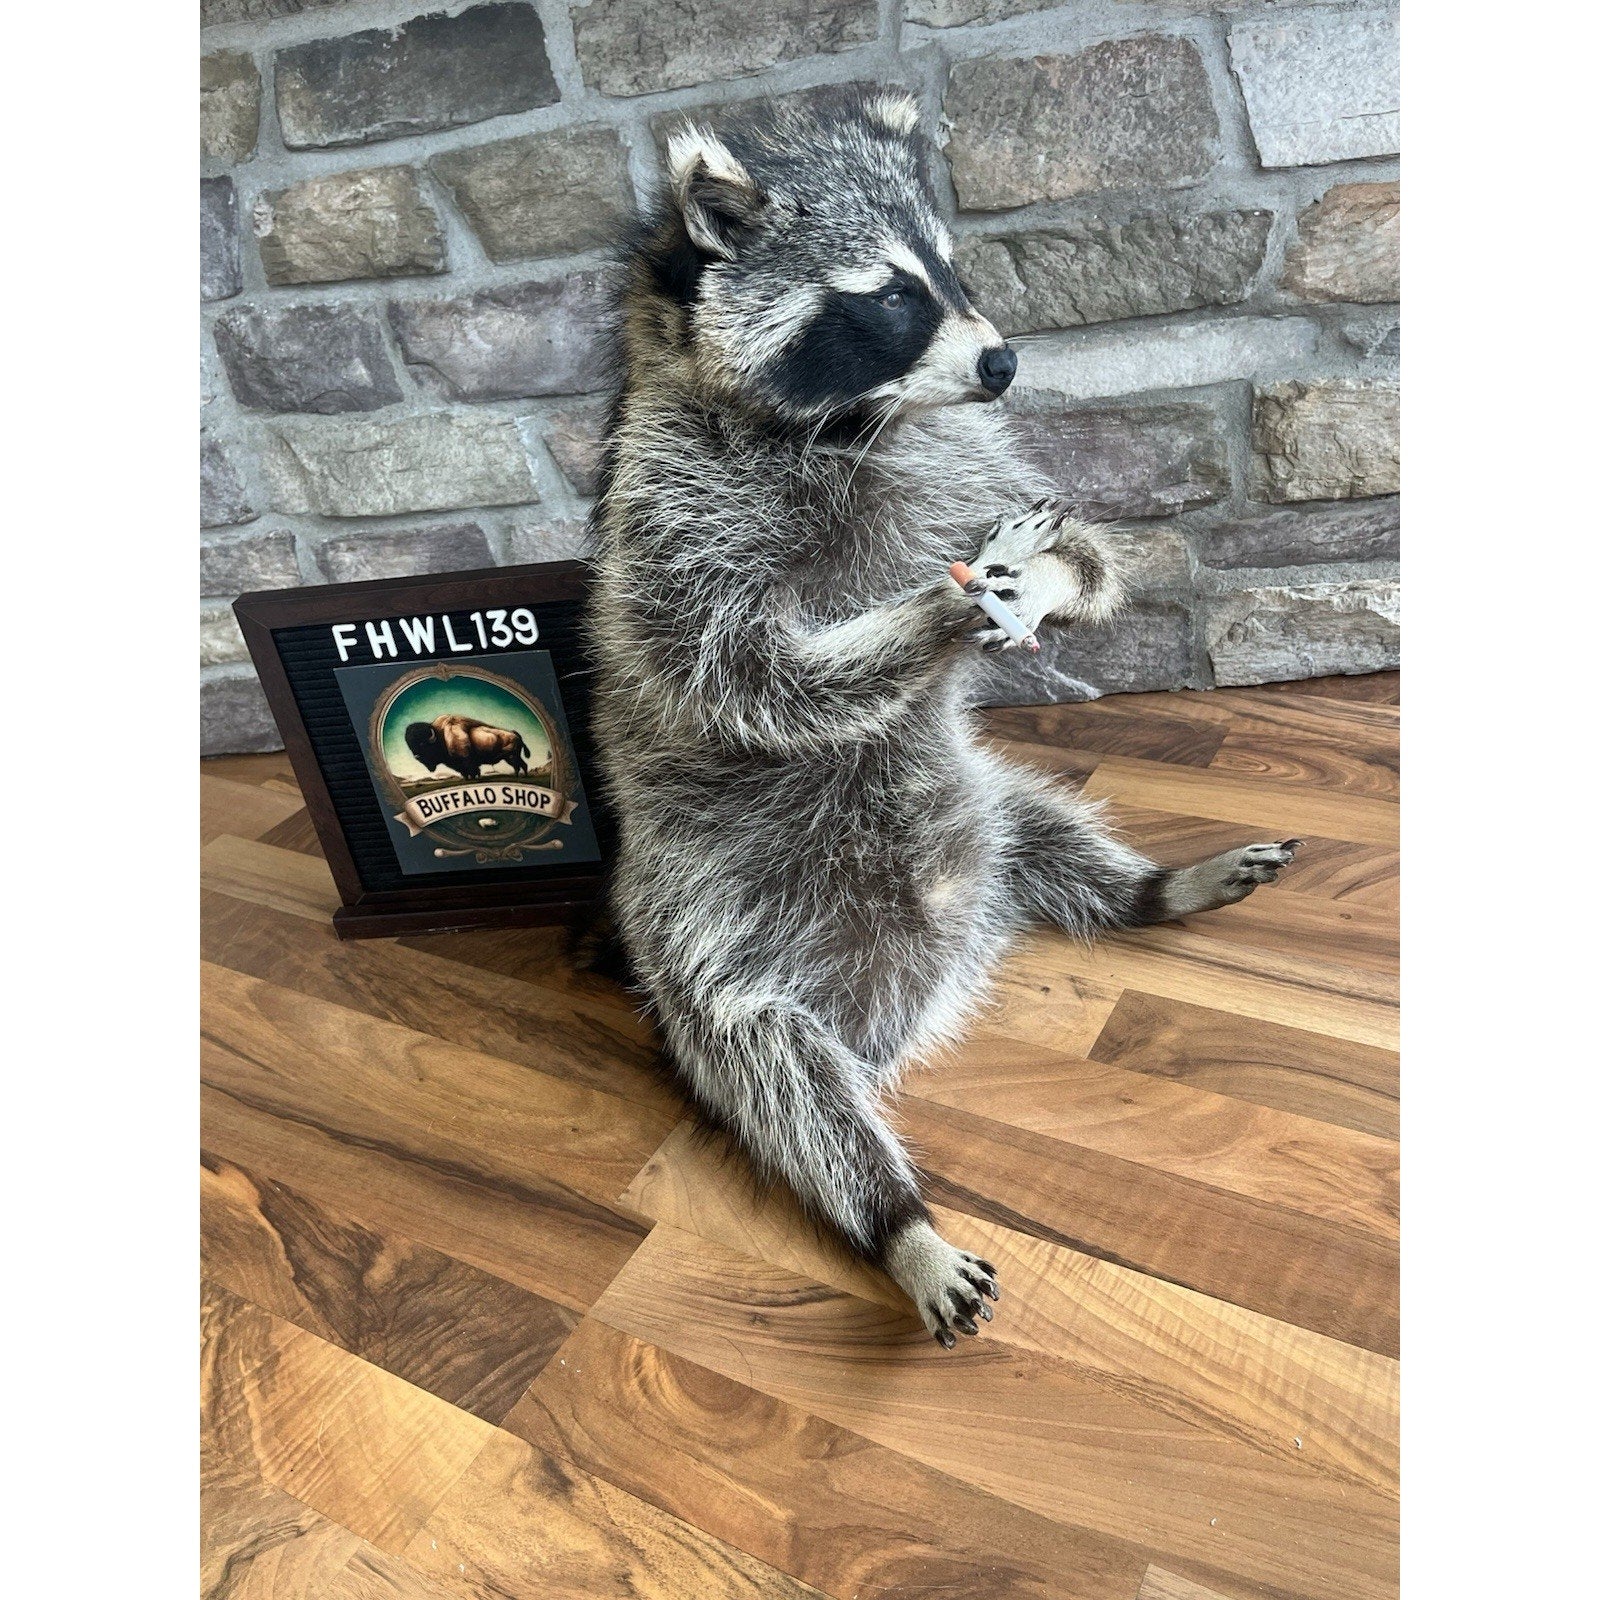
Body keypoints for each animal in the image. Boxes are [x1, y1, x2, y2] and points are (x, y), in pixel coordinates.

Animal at [587, 88, 1299, 1347]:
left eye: (951, 269)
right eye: (886, 297)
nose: (1004, 360)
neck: (856, 420)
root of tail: (924, 989)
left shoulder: (965, 458)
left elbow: (1089, 553)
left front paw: (1047, 579)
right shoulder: (669, 508)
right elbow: (736, 670)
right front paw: (928, 610)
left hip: (986, 806)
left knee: (1049, 831)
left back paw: (1153, 888)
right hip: (702, 925)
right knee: (775, 1070)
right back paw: (893, 1215)